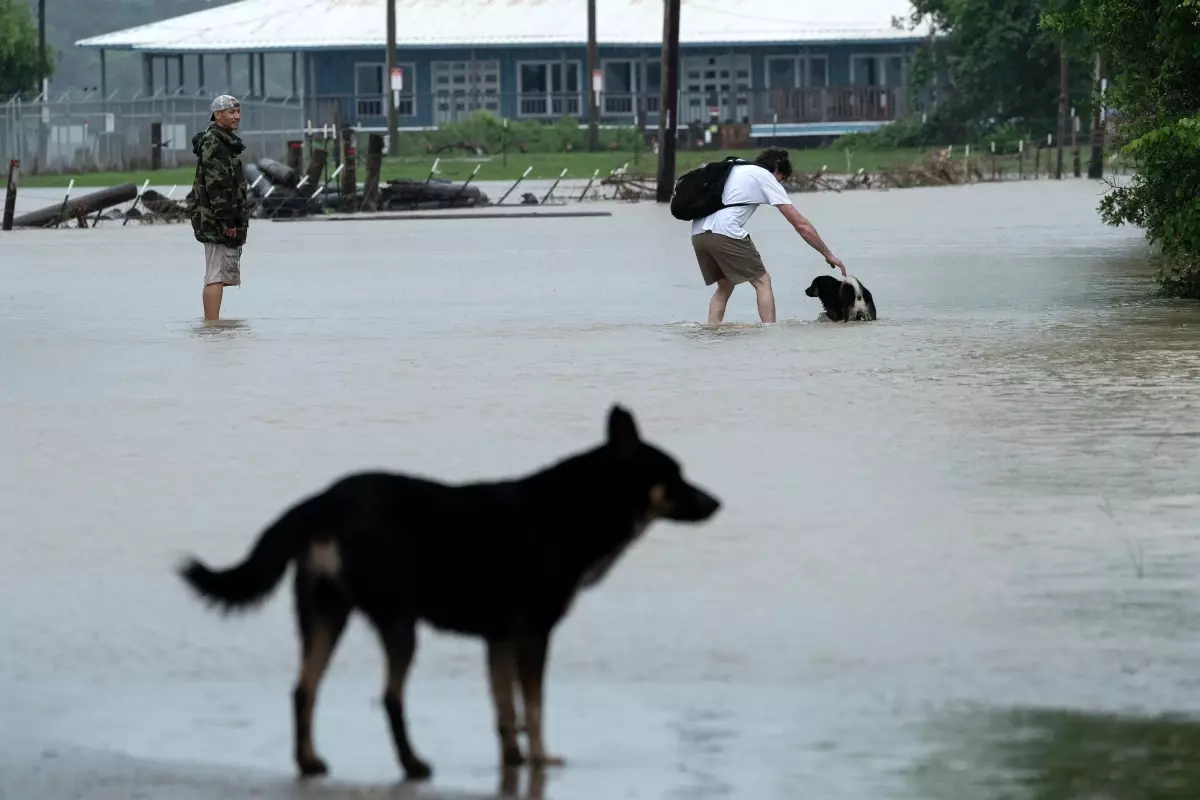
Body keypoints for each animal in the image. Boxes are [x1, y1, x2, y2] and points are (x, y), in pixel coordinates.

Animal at [176, 407, 715, 782]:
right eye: (675, 476)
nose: (717, 503)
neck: (576, 509)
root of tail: (323, 502)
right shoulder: (533, 634)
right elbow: (534, 706)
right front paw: (541, 758)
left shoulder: (498, 639)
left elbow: (506, 711)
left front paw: (514, 761)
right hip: (398, 621)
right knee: (389, 697)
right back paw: (413, 765)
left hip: (326, 614)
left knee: (304, 689)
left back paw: (309, 762)